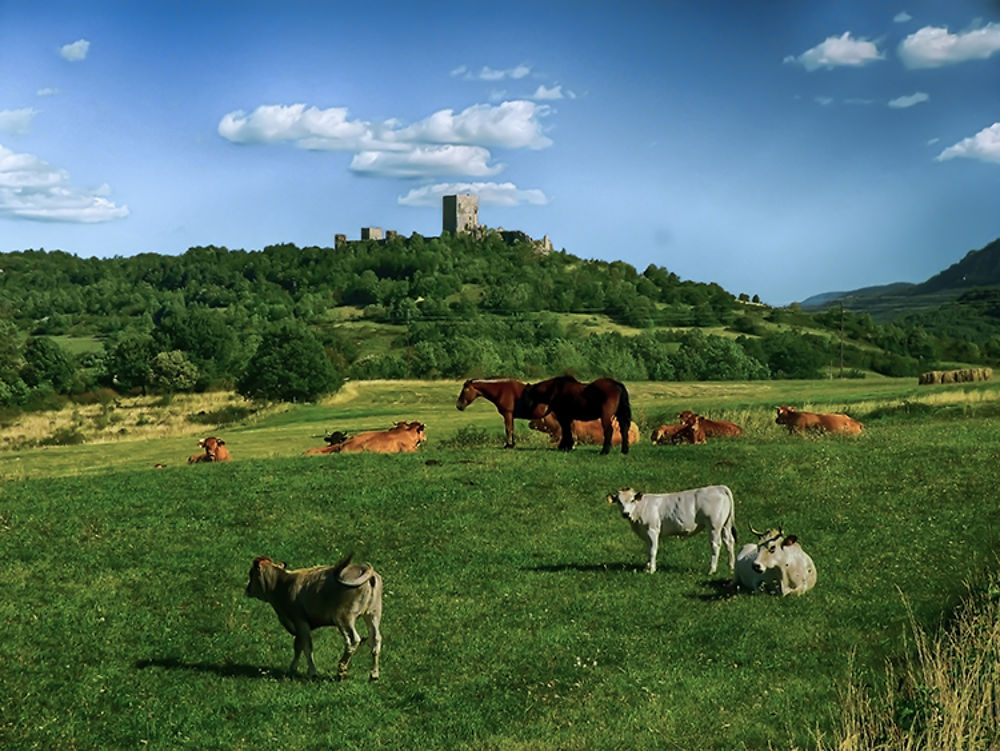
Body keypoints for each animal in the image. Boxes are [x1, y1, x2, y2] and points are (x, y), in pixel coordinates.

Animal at [604, 488, 740, 576]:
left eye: (632, 500)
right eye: (619, 501)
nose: (625, 513)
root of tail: (719, 487)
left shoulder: (652, 530)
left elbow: (653, 550)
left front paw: (652, 569)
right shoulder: (646, 533)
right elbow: (648, 550)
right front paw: (647, 567)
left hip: (714, 526)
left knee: (715, 545)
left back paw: (711, 570)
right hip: (725, 525)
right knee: (729, 542)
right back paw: (731, 566)